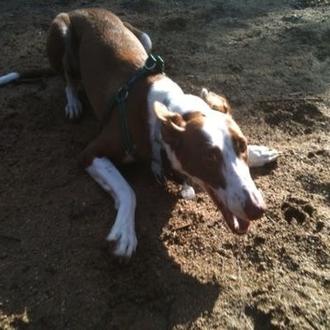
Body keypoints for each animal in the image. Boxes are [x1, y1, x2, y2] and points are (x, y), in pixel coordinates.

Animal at [0, 8, 278, 258]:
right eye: (209, 157)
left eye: (242, 146)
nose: (257, 208)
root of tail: (82, 9)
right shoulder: (90, 153)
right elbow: (128, 191)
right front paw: (124, 232)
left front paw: (258, 153)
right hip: (62, 31)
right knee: (67, 79)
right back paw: (73, 102)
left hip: (144, 37)